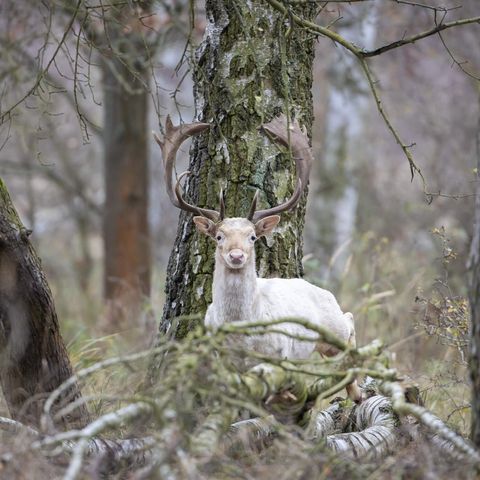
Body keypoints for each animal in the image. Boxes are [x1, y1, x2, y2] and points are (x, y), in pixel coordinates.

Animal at [156, 115, 362, 402]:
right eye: (219, 236)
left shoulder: (279, 354)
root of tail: (321, 290)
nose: (236, 255)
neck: (242, 334)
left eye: (252, 236)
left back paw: (356, 391)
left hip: (332, 325)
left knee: (350, 321)